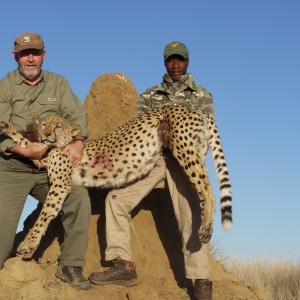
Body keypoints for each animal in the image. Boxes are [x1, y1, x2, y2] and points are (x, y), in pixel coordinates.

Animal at [0, 105, 232, 258]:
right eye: (44, 125)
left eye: (57, 126)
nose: (46, 134)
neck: (58, 146)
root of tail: (195, 109)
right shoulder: (41, 160)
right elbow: (24, 142)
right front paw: (6, 126)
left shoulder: (60, 185)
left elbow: (44, 214)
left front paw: (28, 244)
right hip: (196, 152)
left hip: (185, 150)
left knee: (208, 190)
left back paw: (205, 229)